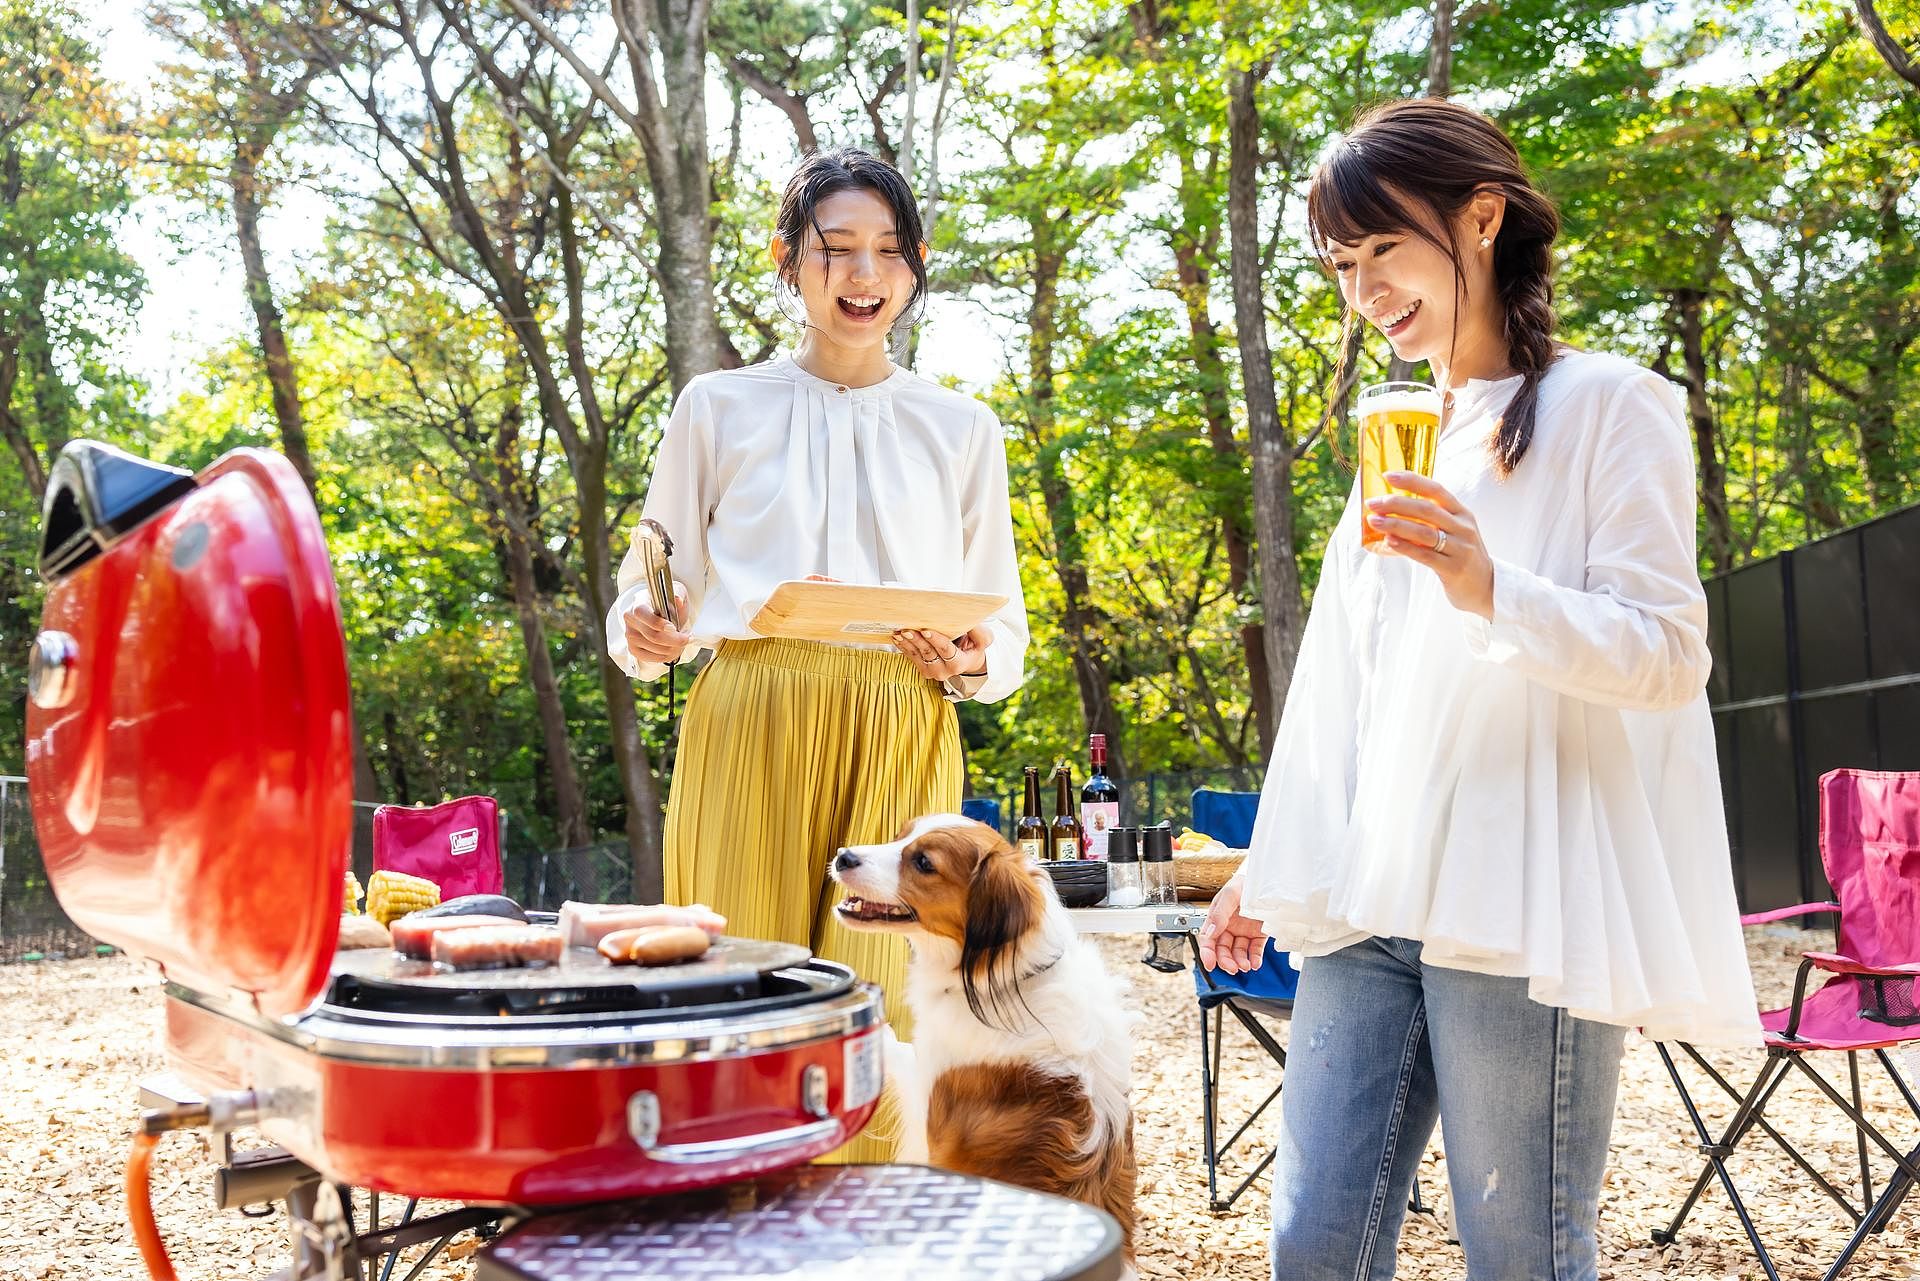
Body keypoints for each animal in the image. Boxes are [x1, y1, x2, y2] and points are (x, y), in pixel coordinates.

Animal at [829, 818, 1128, 1259]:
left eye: (923, 862)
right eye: (900, 834)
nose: (844, 856)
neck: (1006, 978)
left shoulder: (927, 1105)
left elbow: (895, 1048)